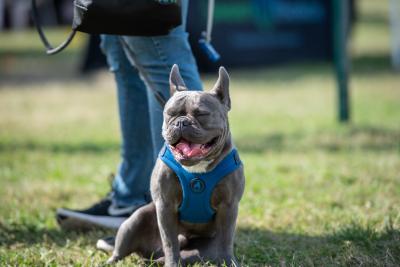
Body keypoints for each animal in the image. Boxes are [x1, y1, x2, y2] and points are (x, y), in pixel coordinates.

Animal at [106, 65, 244, 267]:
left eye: (202, 114)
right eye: (170, 114)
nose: (181, 122)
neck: (196, 169)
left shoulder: (228, 206)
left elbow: (226, 238)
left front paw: (229, 261)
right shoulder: (165, 206)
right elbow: (170, 241)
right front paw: (172, 263)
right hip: (135, 220)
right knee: (124, 247)